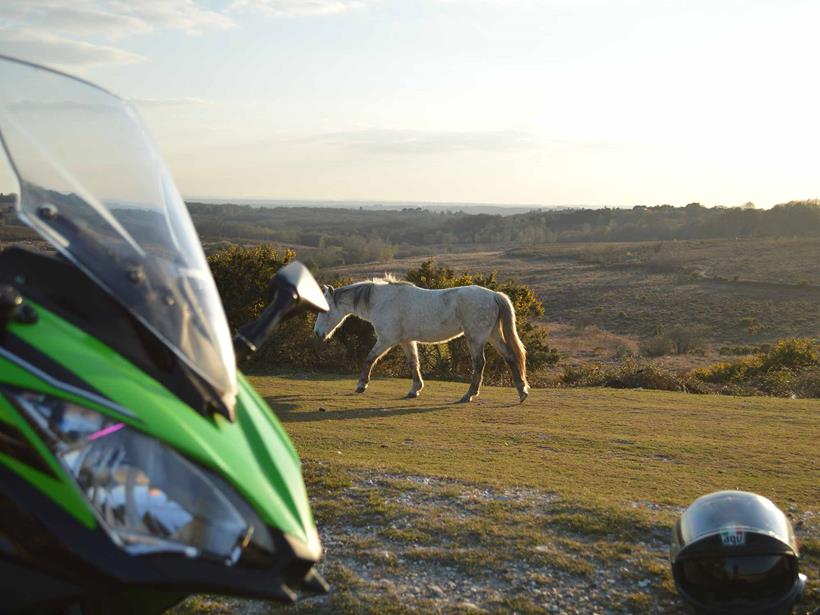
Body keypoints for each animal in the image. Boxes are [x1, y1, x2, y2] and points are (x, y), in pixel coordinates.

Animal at [310, 276, 528, 404]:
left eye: (324, 309)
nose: (318, 333)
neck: (380, 301)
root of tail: (494, 295)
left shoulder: (386, 339)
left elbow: (369, 358)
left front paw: (361, 385)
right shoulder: (406, 341)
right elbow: (413, 363)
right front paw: (415, 389)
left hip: (476, 338)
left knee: (479, 364)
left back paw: (469, 395)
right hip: (492, 335)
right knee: (510, 357)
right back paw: (522, 391)